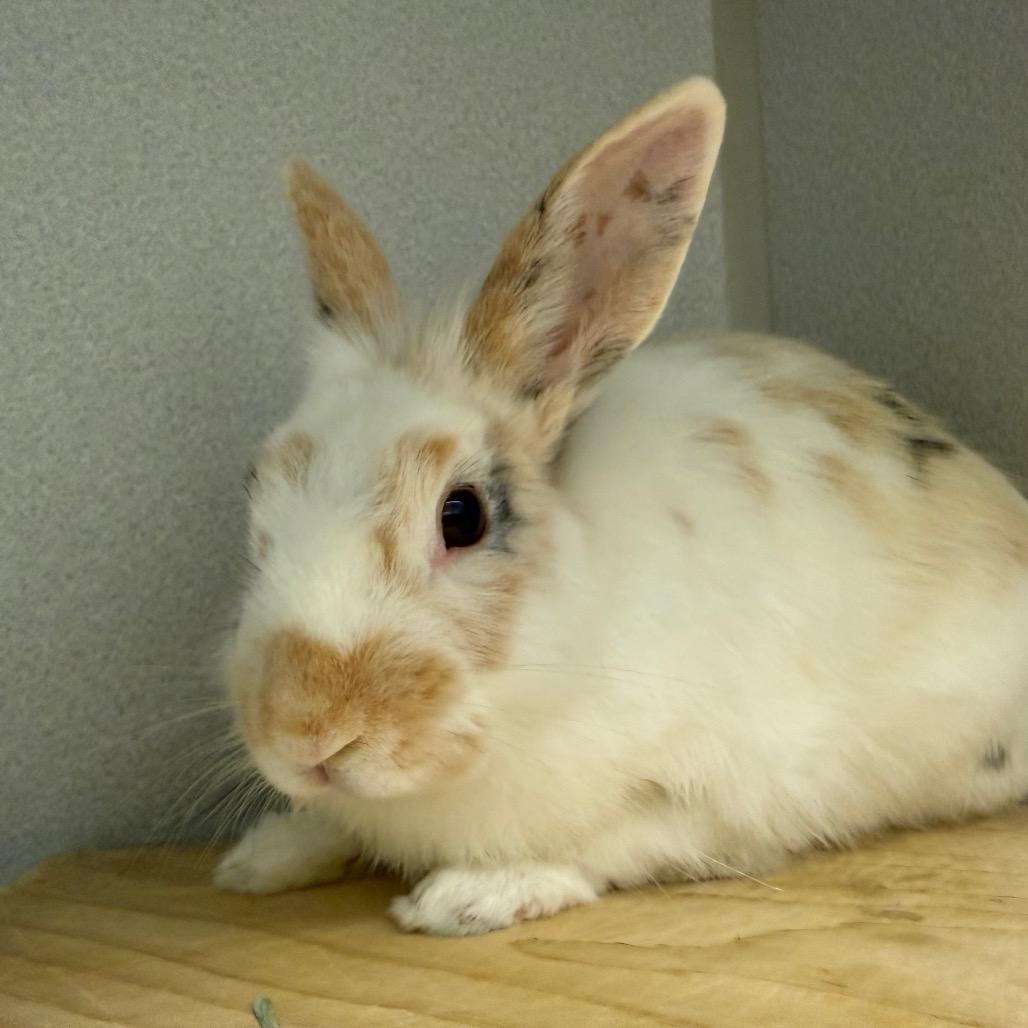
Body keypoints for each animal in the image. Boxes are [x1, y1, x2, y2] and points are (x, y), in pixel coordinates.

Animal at [214, 77, 1028, 936]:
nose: (303, 733)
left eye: (461, 515)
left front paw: (466, 897)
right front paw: (260, 859)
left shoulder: (728, 797)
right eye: (257, 499)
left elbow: (609, 843)